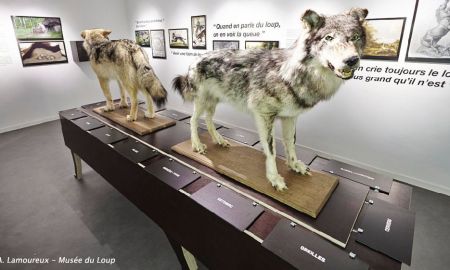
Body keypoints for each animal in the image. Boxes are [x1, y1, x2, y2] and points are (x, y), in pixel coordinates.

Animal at [174, 7, 368, 190]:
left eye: (355, 37)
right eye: (329, 38)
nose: (352, 60)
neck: (288, 73)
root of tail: (195, 59)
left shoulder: (291, 117)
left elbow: (291, 143)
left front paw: (294, 165)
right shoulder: (264, 116)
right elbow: (271, 149)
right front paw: (274, 178)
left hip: (212, 102)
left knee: (208, 120)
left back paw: (219, 140)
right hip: (201, 101)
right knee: (193, 120)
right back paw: (197, 145)